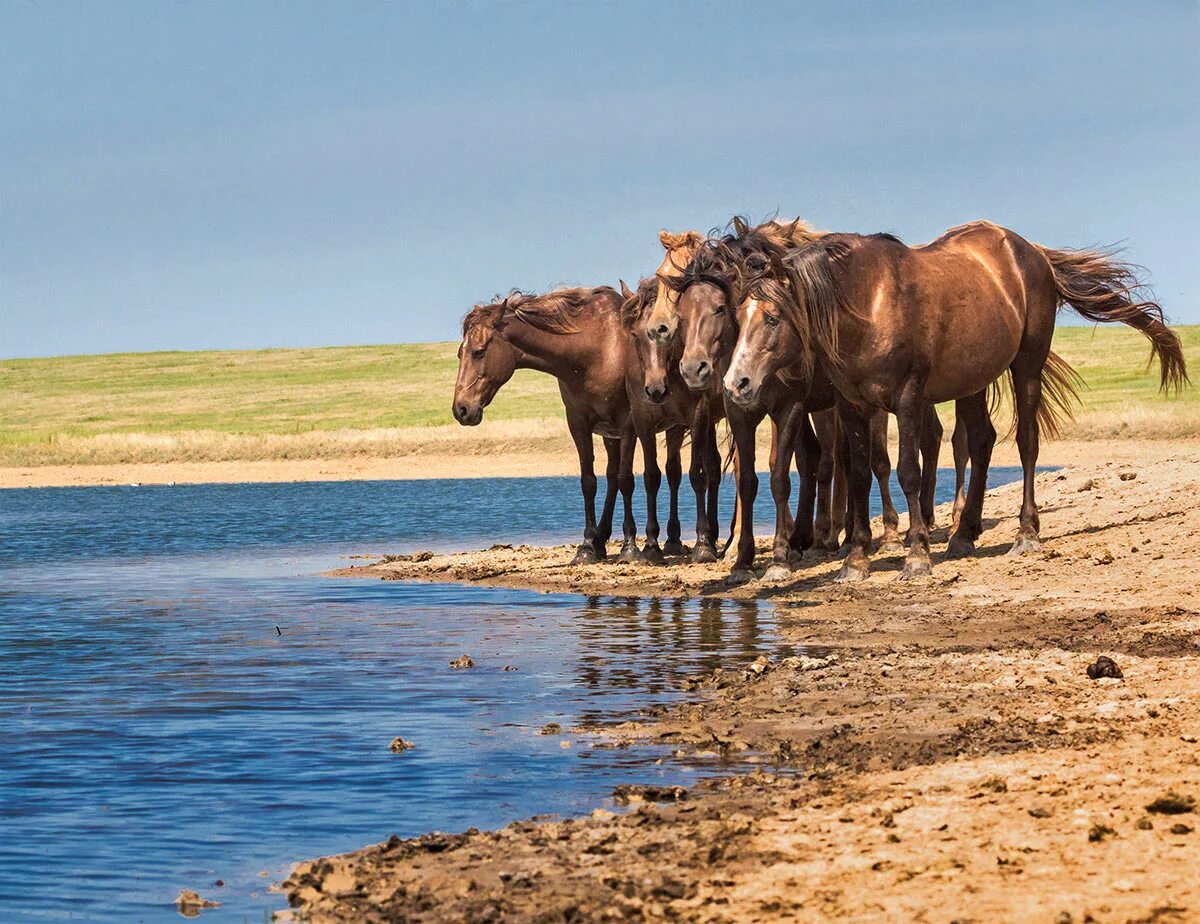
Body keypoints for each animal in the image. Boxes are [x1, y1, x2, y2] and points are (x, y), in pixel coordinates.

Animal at [720, 219, 1190, 580]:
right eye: (737, 314)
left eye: (773, 317)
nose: (735, 383)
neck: (870, 304)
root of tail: (1032, 253)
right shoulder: (853, 407)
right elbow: (857, 477)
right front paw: (855, 561)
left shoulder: (907, 399)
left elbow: (908, 471)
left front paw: (916, 554)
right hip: (973, 382)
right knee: (980, 442)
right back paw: (963, 535)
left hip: (1027, 367)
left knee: (1027, 445)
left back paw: (1026, 533)